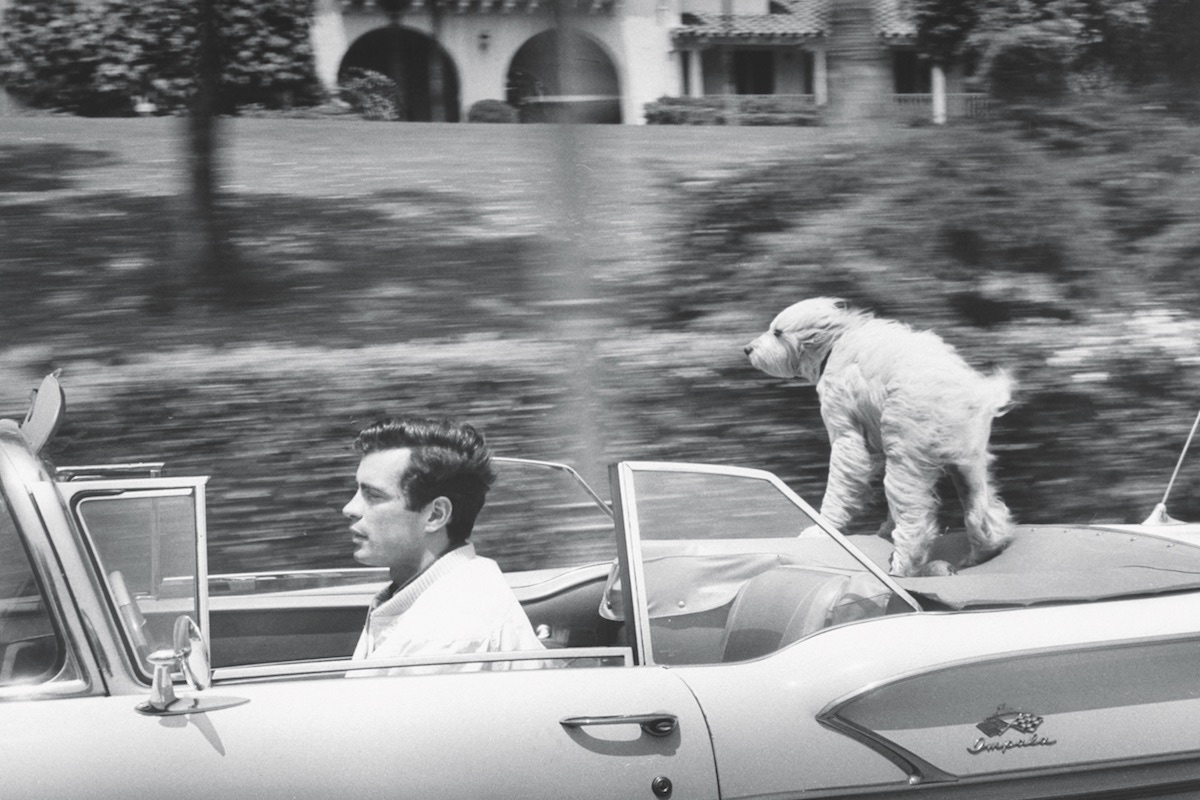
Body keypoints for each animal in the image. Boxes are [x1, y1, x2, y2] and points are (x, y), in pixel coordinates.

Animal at [748, 298, 1012, 575]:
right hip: (967, 459)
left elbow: (841, 478)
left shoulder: (845, 427)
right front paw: (885, 527)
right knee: (978, 508)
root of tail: (956, 394)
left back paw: (902, 566)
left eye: (777, 332)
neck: (837, 339)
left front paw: (822, 528)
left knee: (914, 519)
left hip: (907, 455)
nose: (747, 349)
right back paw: (985, 549)